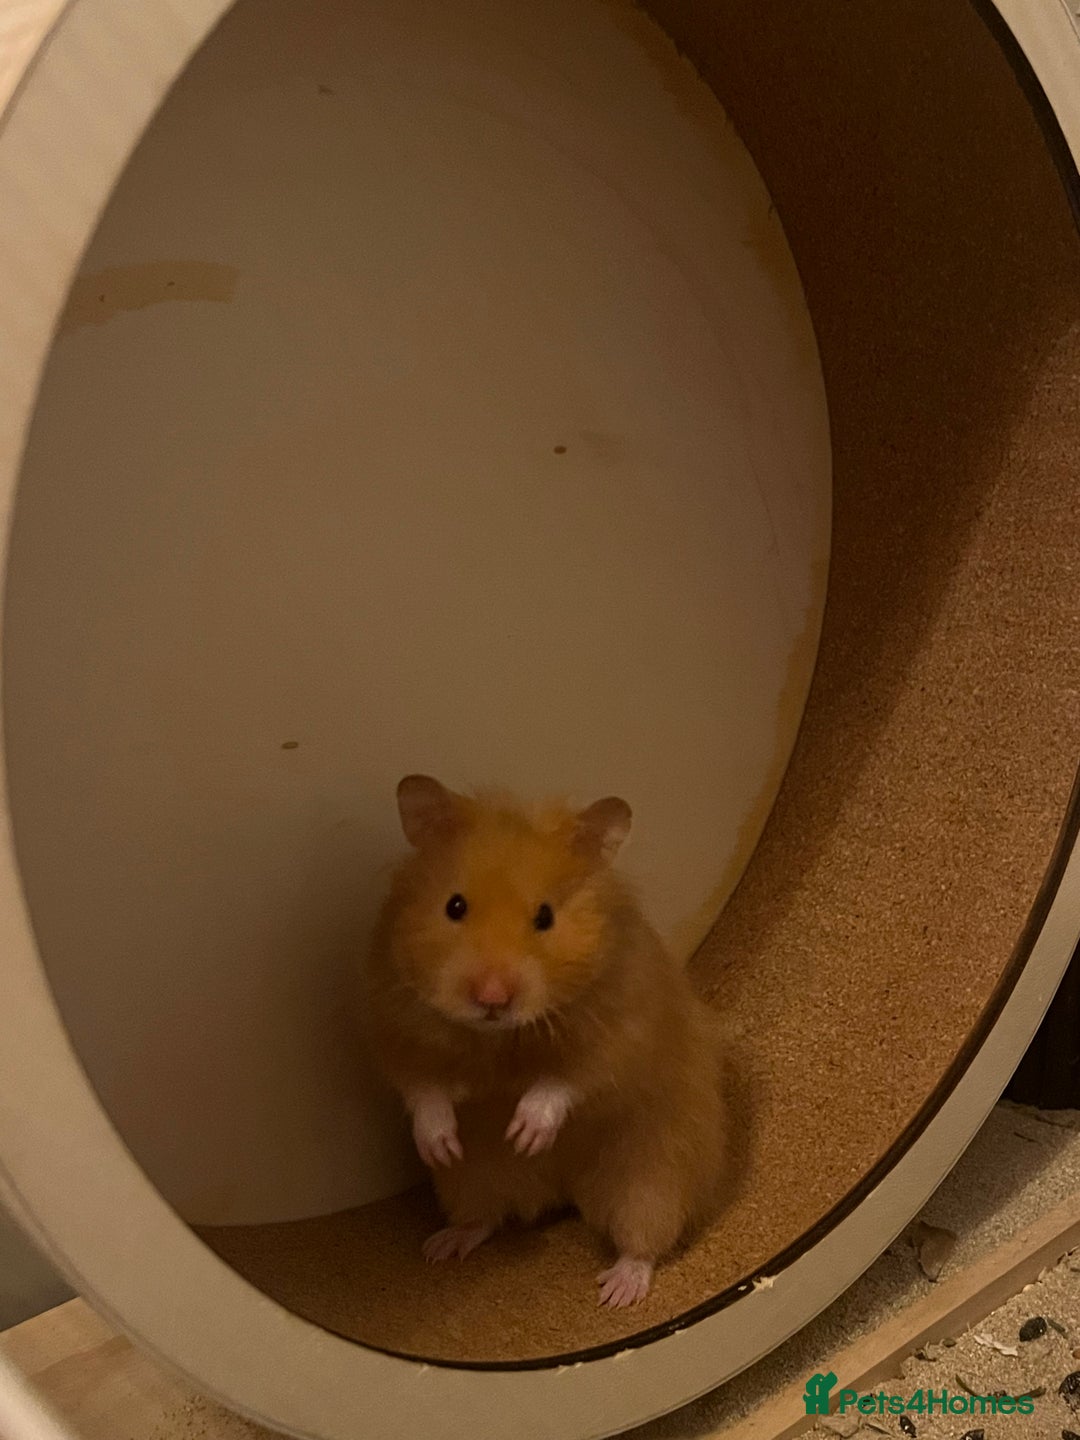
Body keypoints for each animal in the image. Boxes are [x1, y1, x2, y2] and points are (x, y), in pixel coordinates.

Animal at [363, 774, 729, 1308]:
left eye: (545, 917)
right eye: (454, 906)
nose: (492, 997)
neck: (502, 1036)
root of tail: (562, 1189)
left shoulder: (619, 1037)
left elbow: (564, 1082)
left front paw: (525, 1133)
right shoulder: (396, 1028)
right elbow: (424, 1089)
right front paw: (441, 1146)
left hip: (652, 1176)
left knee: (645, 1240)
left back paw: (616, 1292)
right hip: (472, 1180)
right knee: (485, 1217)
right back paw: (441, 1247)